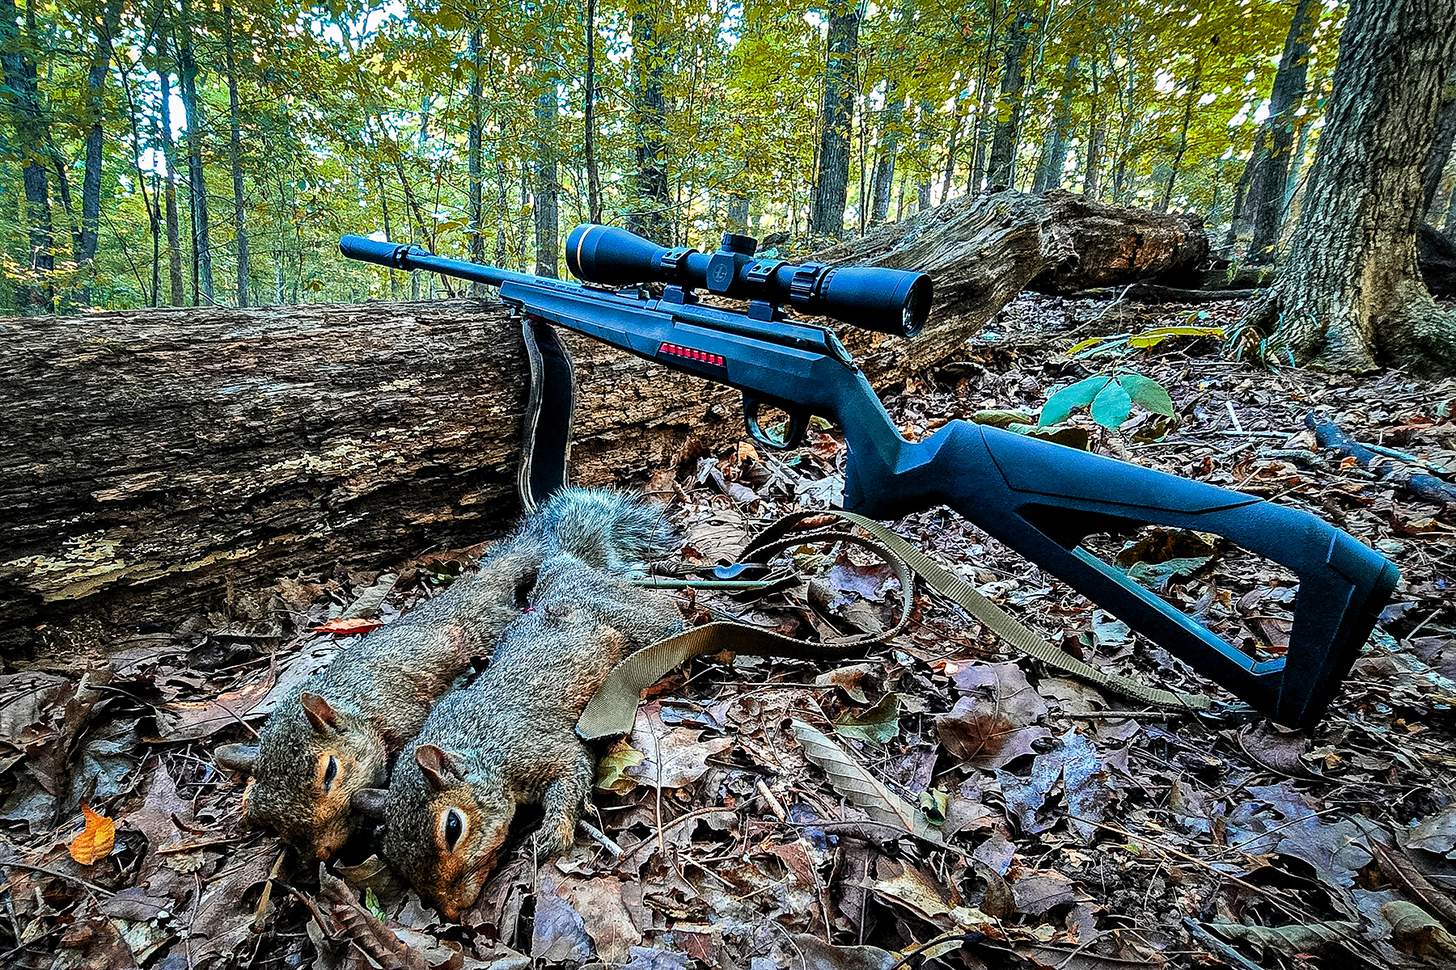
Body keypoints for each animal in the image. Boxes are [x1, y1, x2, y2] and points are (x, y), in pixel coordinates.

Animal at [213, 488, 675, 860]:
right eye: (268, 817)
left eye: (329, 772)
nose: (322, 853)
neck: (354, 704)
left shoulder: (402, 714)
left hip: (491, 625)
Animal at [353, 549, 685, 919]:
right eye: (392, 855)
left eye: (453, 827)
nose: (453, 912)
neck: (477, 746)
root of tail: (563, 569)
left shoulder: (538, 746)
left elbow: (572, 772)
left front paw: (552, 833)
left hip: (627, 616)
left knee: (667, 615)